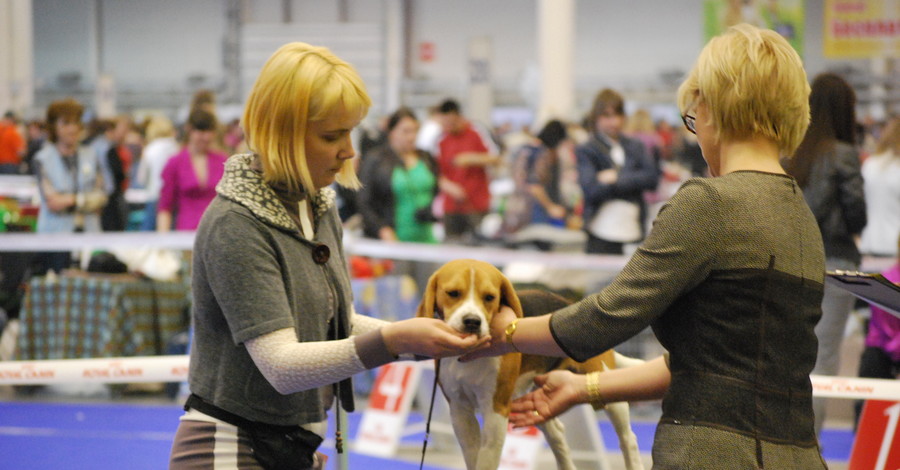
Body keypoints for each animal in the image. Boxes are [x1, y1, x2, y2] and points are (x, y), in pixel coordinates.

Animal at [418, 260, 644, 470]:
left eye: (490, 297)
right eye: (453, 293)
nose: (472, 321)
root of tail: (569, 303)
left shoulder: (496, 410)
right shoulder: (460, 410)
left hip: (607, 390)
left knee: (628, 439)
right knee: (557, 433)